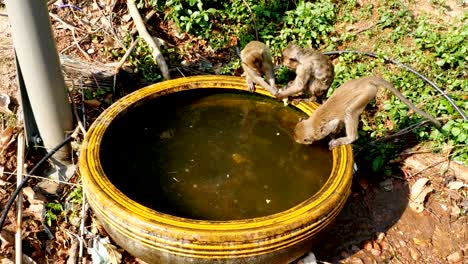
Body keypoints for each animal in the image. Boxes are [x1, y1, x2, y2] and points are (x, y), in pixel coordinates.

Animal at [294, 76, 440, 151]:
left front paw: (334, 135)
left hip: (367, 93)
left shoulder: (321, 130)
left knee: (349, 112)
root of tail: (365, 80)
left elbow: (334, 124)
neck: (311, 124)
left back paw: (350, 138)